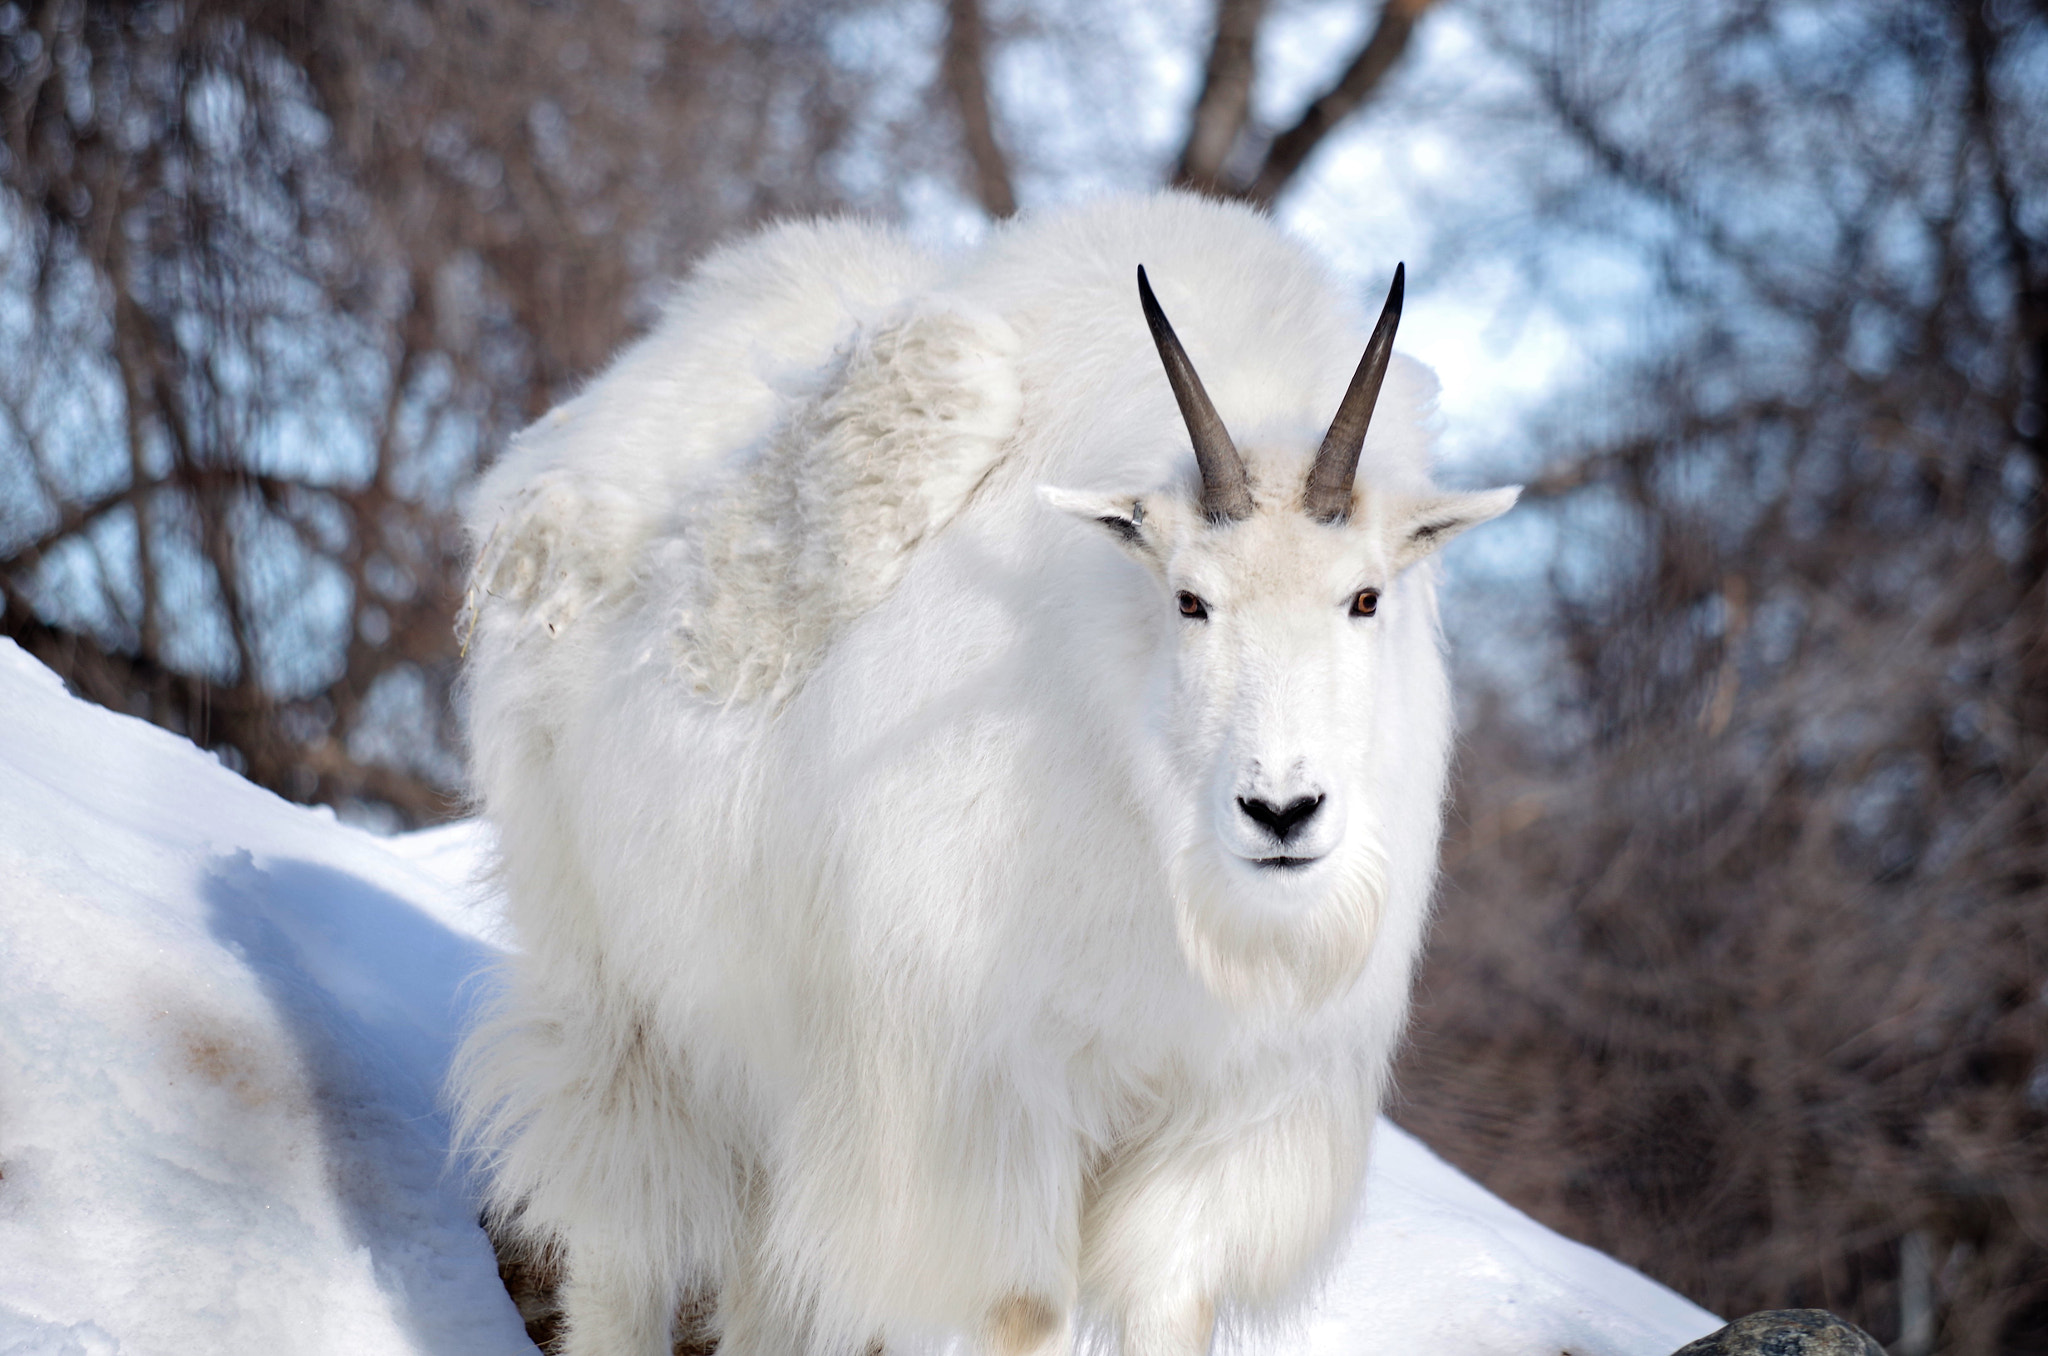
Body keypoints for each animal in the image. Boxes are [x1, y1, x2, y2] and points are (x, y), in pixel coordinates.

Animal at [456, 193, 1531, 1356]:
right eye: (1189, 598)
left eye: (1366, 597)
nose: (1280, 811)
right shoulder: (975, 1105)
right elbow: (1022, 1309)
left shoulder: (1210, 1120)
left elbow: (1170, 1299)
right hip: (621, 1004)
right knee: (624, 1238)